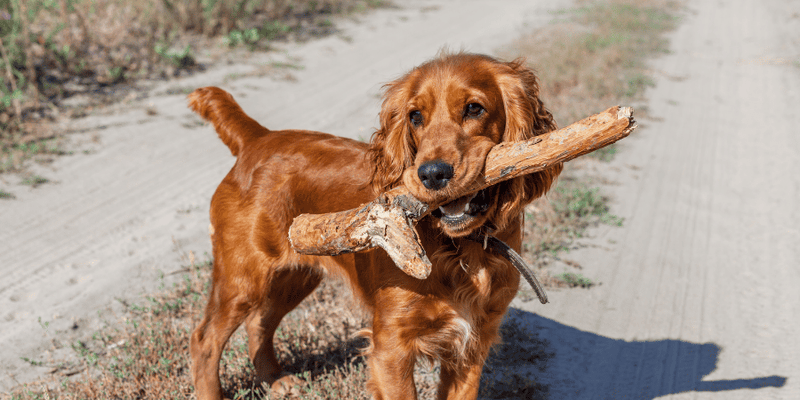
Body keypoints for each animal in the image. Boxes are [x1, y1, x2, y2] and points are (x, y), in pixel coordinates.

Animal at [190, 52, 560, 396]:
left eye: (474, 108)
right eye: (415, 116)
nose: (431, 174)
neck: (459, 248)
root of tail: (257, 138)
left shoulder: (473, 345)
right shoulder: (391, 346)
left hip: (296, 275)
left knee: (259, 323)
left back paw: (275, 380)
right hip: (243, 277)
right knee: (204, 338)